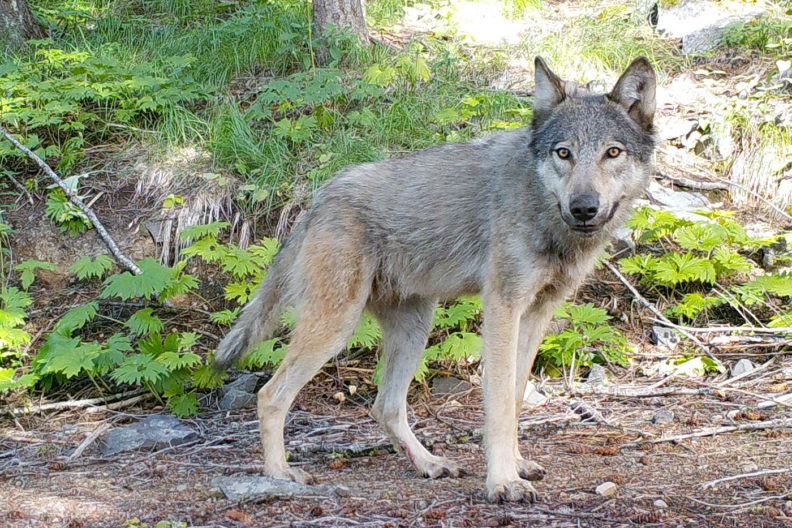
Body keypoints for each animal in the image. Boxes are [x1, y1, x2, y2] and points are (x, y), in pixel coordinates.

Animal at [214, 56, 656, 502]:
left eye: (612, 152)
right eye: (564, 153)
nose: (583, 207)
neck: (542, 208)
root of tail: (319, 199)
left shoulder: (537, 314)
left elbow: (515, 397)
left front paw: (516, 465)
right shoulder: (502, 308)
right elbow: (499, 403)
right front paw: (503, 482)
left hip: (414, 329)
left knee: (385, 406)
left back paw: (428, 463)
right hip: (336, 328)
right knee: (271, 396)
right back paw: (279, 475)